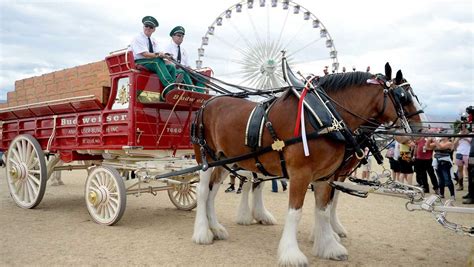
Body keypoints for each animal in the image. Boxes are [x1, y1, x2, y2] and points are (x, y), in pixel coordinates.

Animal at [192, 63, 422, 266]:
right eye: (403, 96)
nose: (419, 131)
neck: (325, 117)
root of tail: (206, 104)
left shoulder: (326, 176)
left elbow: (324, 209)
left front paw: (328, 245)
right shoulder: (301, 174)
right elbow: (296, 212)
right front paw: (291, 254)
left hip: (224, 162)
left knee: (214, 192)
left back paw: (217, 228)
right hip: (206, 160)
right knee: (203, 192)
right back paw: (203, 232)